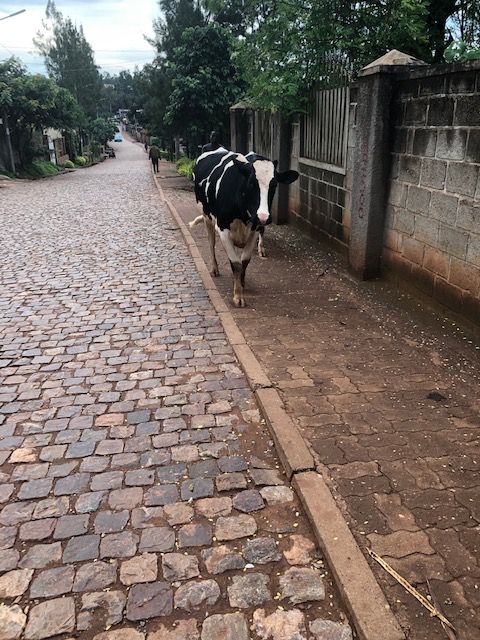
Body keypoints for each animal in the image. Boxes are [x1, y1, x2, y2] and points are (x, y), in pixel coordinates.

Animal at [190, 148, 299, 307]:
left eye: (274, 185)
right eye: (251, 183)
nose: (263, 216)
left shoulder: (254, 231)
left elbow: (245, 261)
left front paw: (241, 283)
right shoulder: (223, 229)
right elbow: (236, 263)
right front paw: (238, 296)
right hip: (206, 217)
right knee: (211, 243)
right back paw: (214, 268)